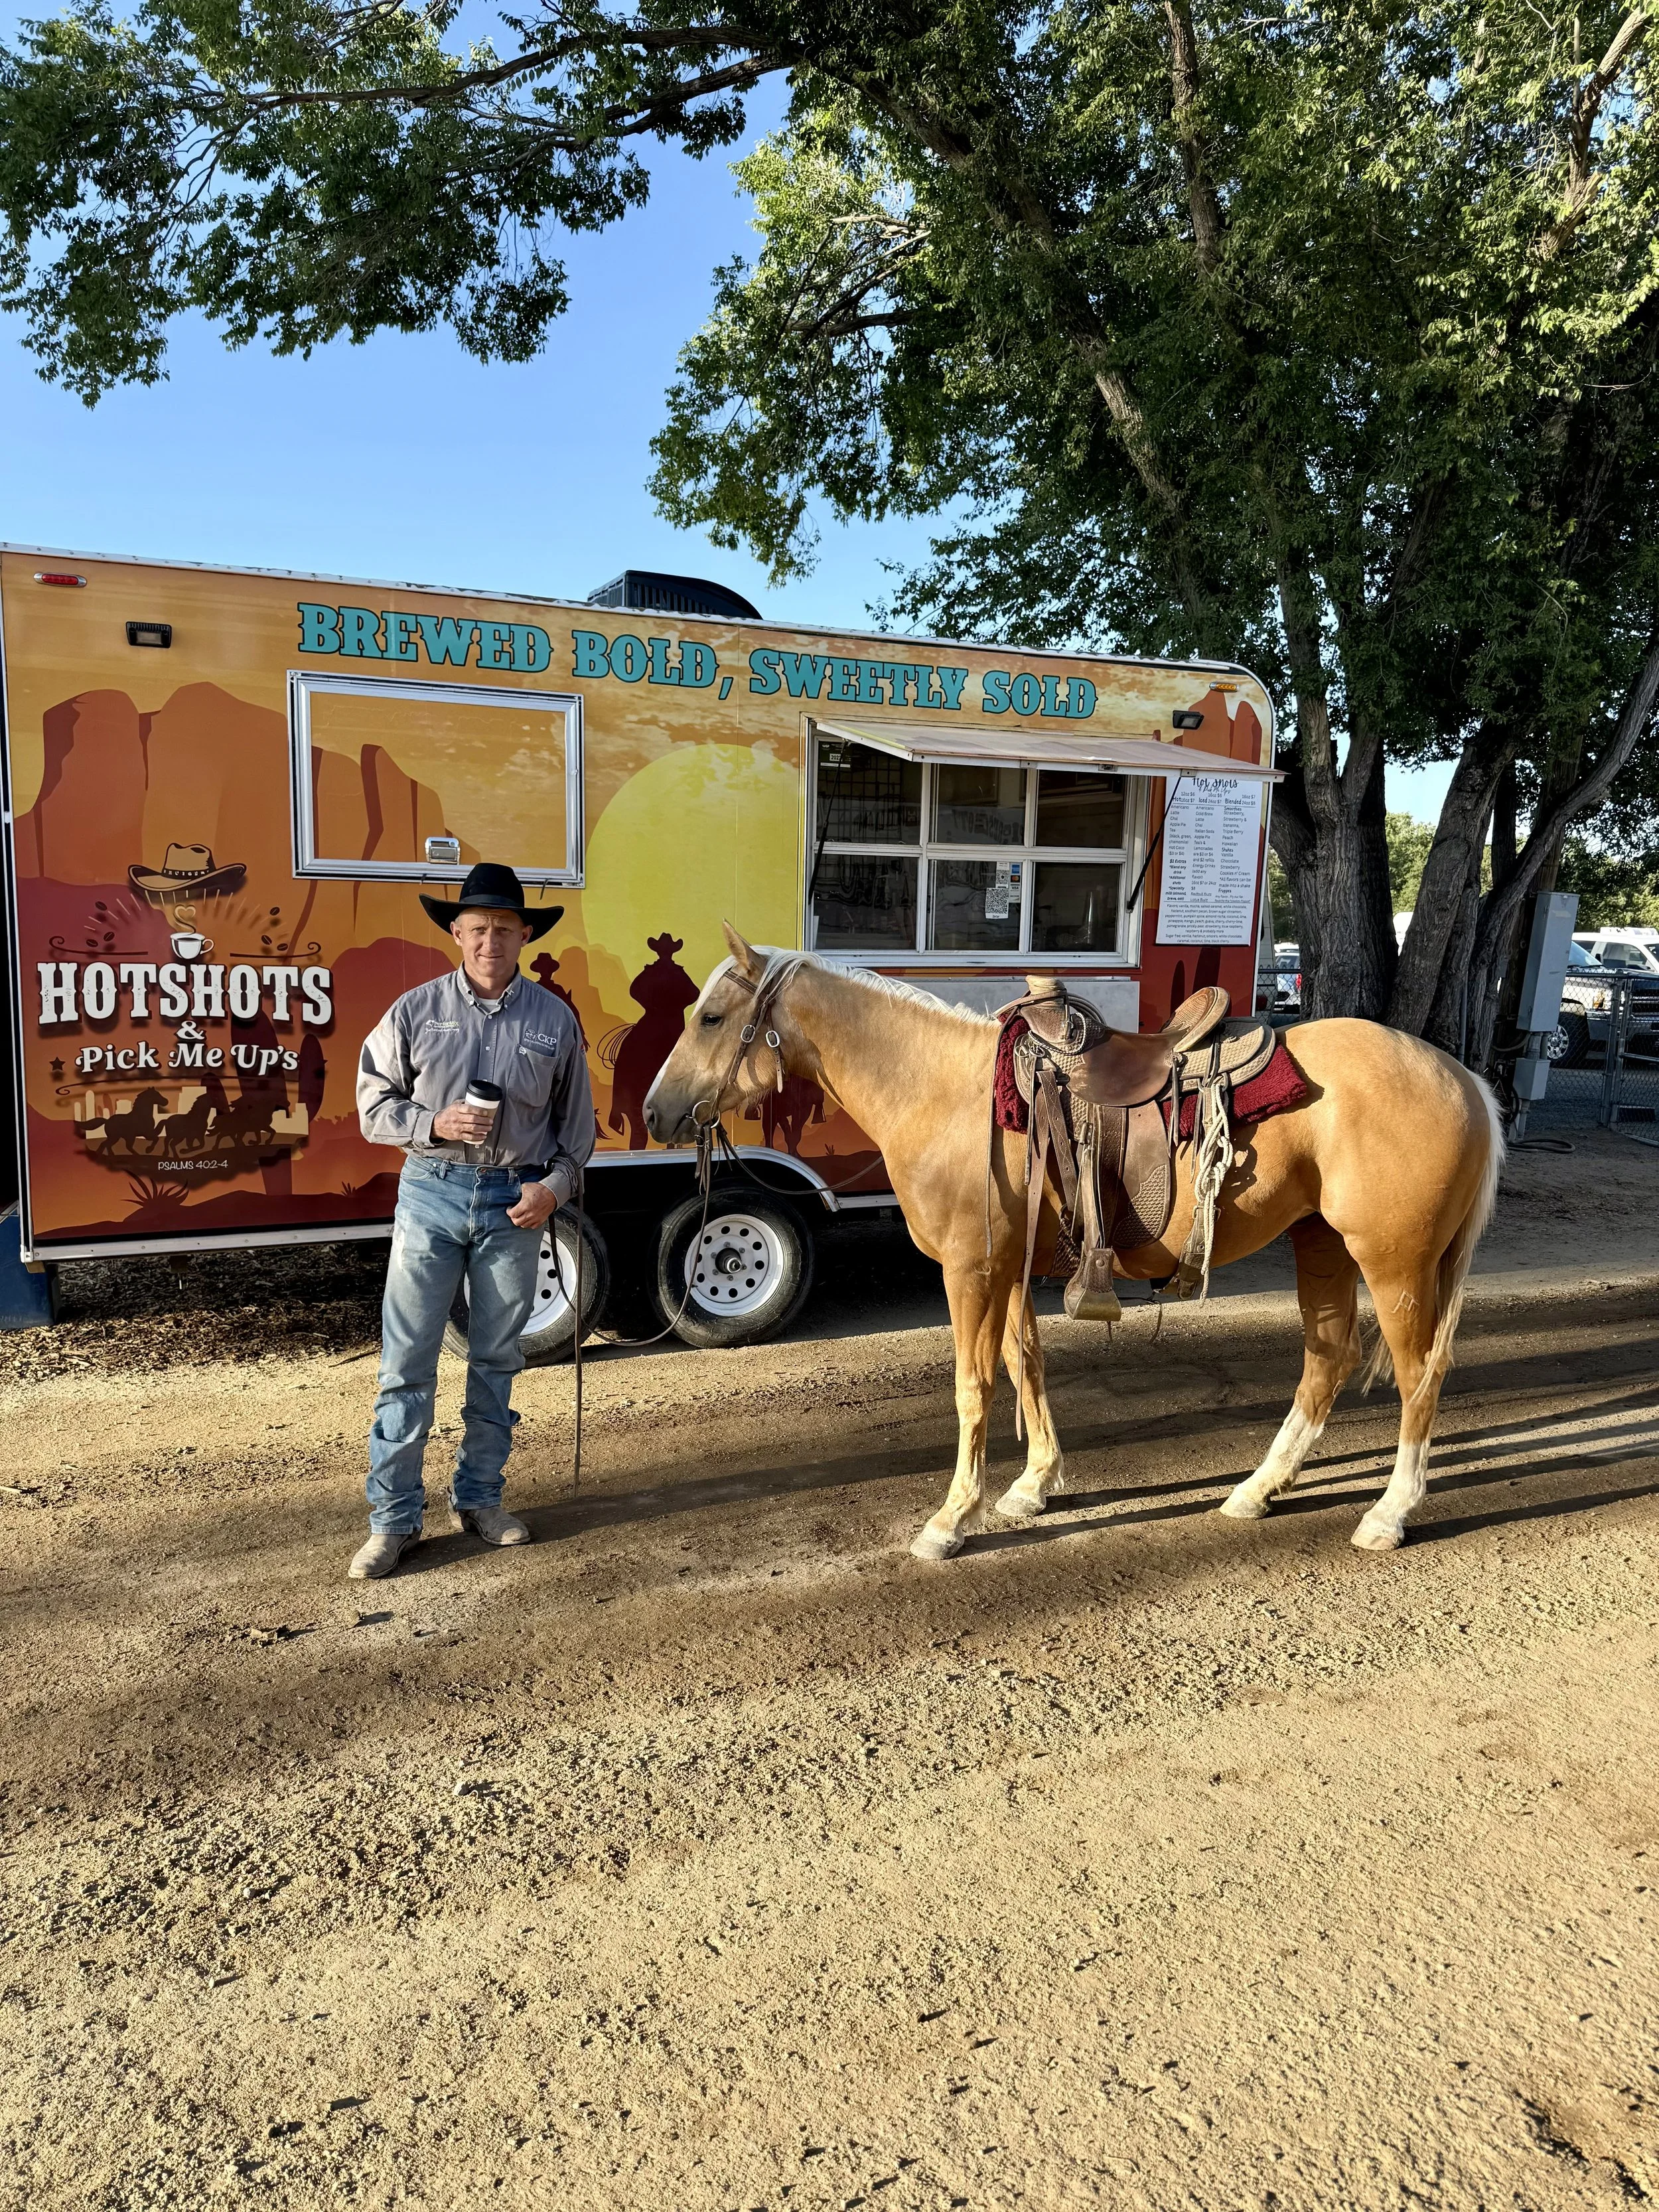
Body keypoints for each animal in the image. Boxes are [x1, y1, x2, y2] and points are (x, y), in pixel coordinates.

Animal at [645, 926, 1502, 1562]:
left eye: (710, 1018)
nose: (655, 1113)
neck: (947, 1095)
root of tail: (1463, 1079)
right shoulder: (1011, 1269)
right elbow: (1026, 1366)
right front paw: (1033, 1486)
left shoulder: (970, 1271)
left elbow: (973, 1387)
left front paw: (952, 1519)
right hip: (1319, 1243)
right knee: (1326, 1362)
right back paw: (1257, 1491)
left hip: (1393, 1262)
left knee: (1419, 1374)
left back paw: (1388, 1513)